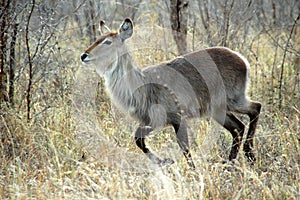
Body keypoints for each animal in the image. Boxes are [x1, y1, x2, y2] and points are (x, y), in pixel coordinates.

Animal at [81, 18, 262, 169]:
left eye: (107, 41)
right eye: (97, 39)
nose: (84, 55)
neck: (142, 85)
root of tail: (242, 59)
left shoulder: (177, 117)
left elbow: (185, 148)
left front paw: (192, 172)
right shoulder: (153, 121)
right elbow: (138, 140)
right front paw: (165, 162)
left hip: (233, 100)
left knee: (256, 108)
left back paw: (249, 155)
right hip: (217, 110)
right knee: (238, 127)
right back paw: (231, 163)